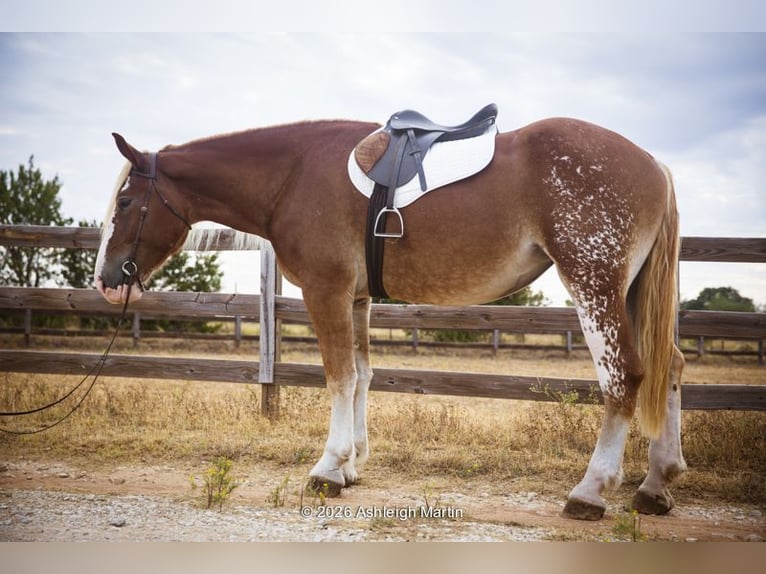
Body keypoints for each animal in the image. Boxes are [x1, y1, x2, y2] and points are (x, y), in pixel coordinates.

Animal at [94, 114, 686, 521]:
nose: (105, 279)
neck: (292, 174)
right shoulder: (357, 299)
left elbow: (338, 377)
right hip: (630, 293)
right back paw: (656, 484)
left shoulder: (326, 291)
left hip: (594, 286)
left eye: (124, 201)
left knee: (624, 377)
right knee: (672, 367)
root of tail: (653, 163)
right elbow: (362, 376)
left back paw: (591, 491)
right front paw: (352, 464)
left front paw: (328, 469)